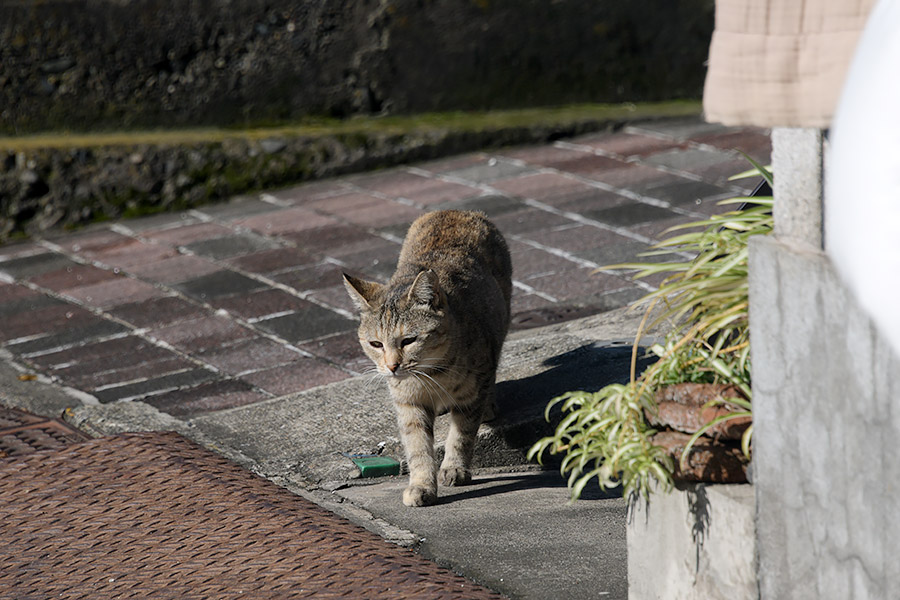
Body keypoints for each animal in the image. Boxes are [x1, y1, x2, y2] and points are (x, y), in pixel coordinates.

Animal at [344, 211, 510, 506]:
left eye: (408, 340)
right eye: (375, 344)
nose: (392, 366)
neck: (432, 374)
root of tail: (455, 212)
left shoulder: (471, 393)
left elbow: (461, 435)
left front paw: (455, 467)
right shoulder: (408, 403)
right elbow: (418, 447)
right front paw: (422, 484)